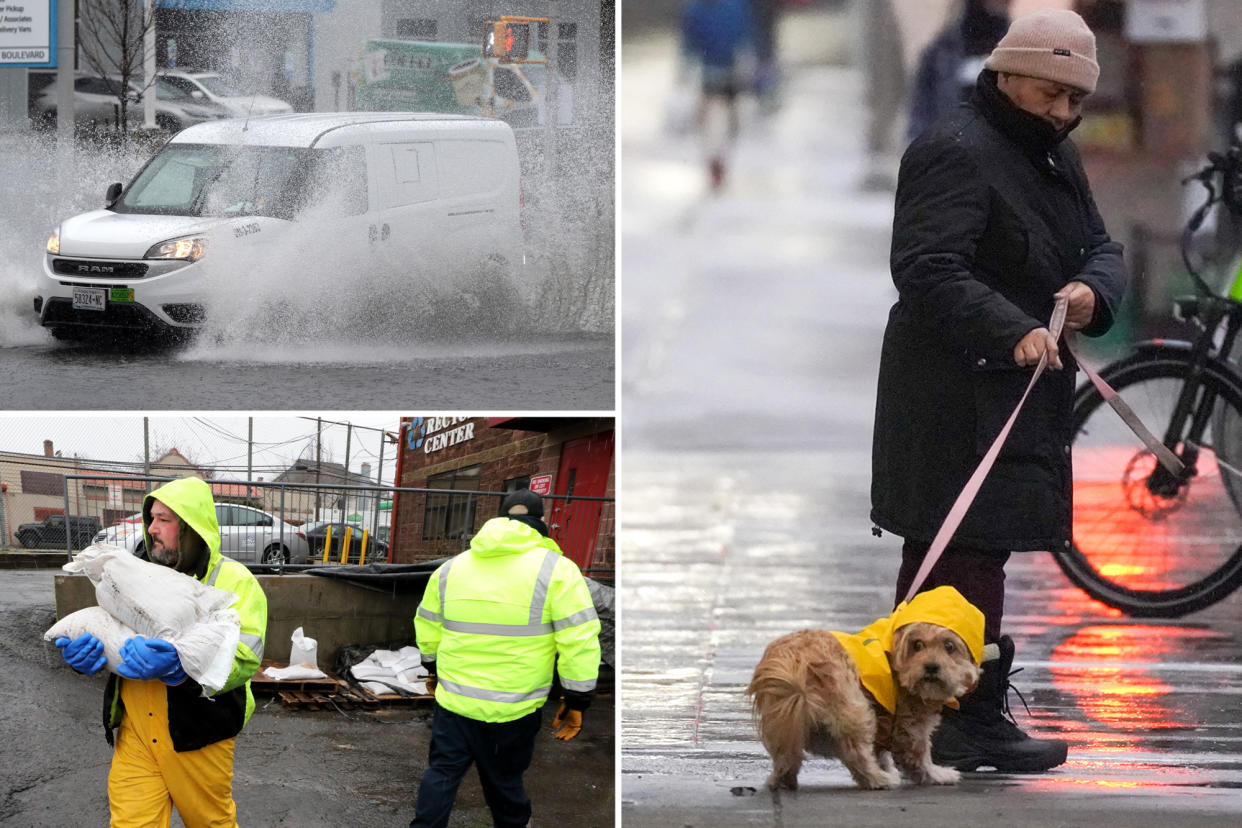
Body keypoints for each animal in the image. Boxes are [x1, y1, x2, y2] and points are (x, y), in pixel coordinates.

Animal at [740, 585, 983, 794]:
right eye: (917, 645)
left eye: (949, 646)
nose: (931, 667)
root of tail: (797, 660)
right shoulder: (910, 724)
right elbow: (918, 754)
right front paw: (936, 775)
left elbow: (883, 752)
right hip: (854, 709)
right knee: (855, 753)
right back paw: (877, 779)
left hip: (785, 717)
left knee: (785, 753)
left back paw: (782, 778)